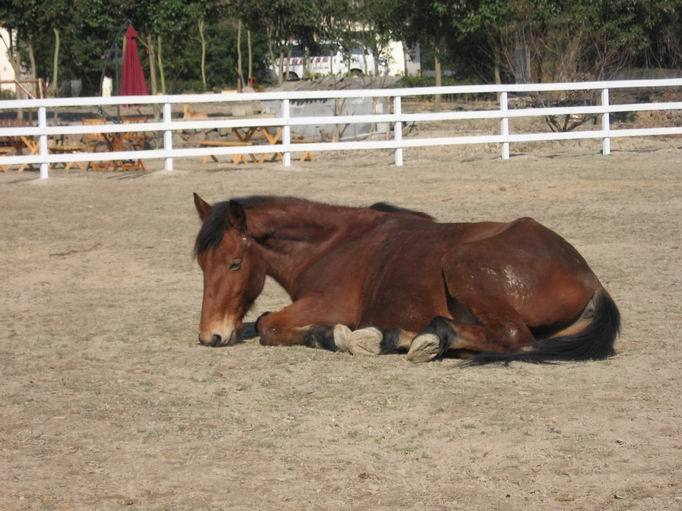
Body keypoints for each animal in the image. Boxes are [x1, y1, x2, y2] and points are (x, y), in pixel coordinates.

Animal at [190, 194, 616, 366]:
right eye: (202, 265)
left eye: (234, 264)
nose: (210, 336)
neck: (332, 244)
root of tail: (590, 277)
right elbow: (261, 321)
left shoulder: (328, 305)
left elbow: (269, 326)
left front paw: (336, 337)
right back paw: (403, 338)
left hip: (462, 262)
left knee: (515, 339)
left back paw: (425, 339)